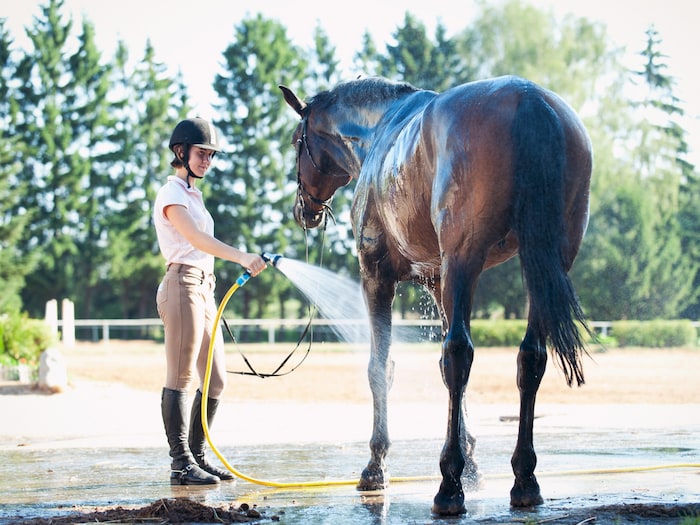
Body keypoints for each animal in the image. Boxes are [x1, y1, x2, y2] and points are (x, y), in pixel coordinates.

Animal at [280, 75, 592, 516]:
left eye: (296, 141)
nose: (303, 210)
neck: (378, 131)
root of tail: (528, 97)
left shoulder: (376, 275)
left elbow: (382, 368)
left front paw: (376, 466)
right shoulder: (440, 281)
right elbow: (445, 373)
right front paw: (473, 463)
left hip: (466, 256)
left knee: (460, 353)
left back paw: (449, 487)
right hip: (545, 261)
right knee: (529, 357)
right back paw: (523, 479)